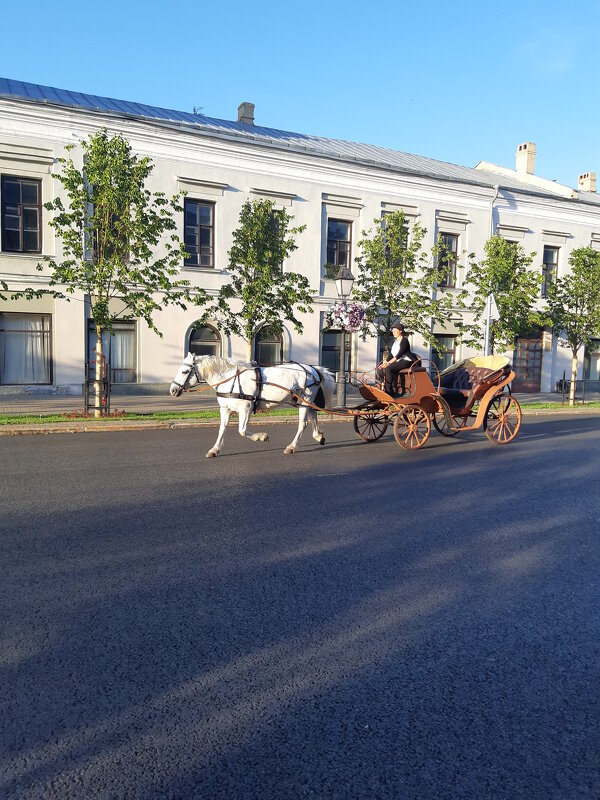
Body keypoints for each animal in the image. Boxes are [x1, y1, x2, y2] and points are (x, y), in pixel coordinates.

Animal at [169, 354, 338, 460]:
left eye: (185, 371)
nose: (173, 390)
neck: (229, 379)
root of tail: (313, 369)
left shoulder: (246, 407)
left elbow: (242, 431)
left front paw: (262, 437)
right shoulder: (225, 409)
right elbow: (222, 429)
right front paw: (215, 449)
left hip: (305, 400)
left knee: (303, 423)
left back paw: (292, 446)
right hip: (301, 401)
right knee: (313, 415)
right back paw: (318, 435)